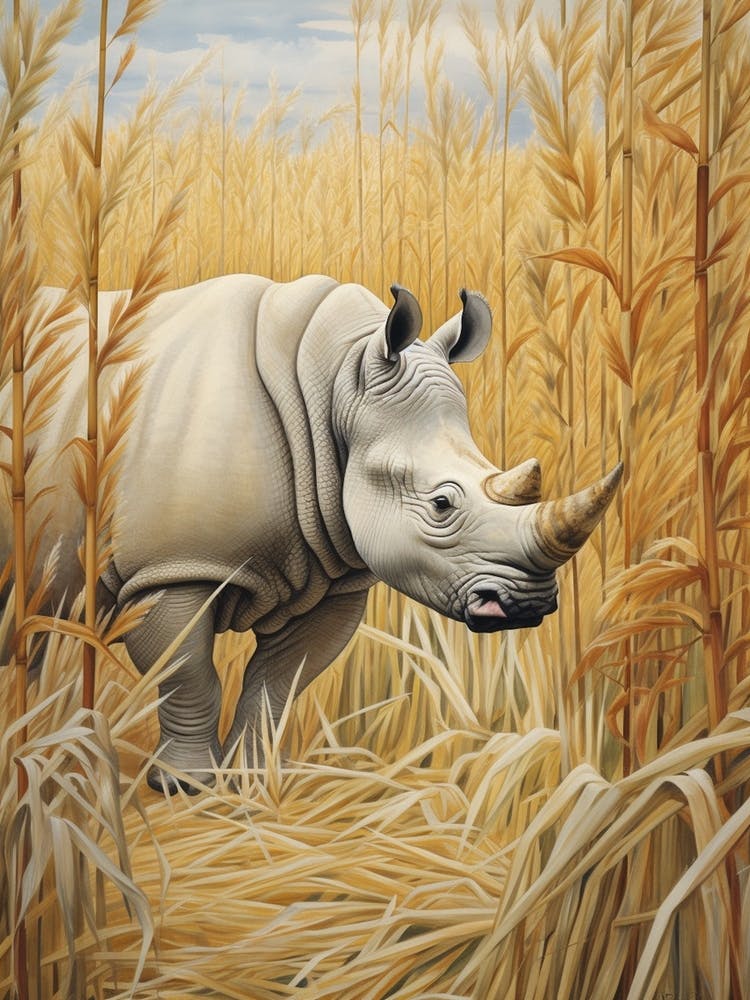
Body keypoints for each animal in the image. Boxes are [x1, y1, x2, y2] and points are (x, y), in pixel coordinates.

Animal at [0, 274, 621, 791]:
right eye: (442, 504)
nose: (531, 604)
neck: (338, 386)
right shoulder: (171, 568)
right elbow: (187, 673)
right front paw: (184, 786)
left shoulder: (332, 574)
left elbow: (277, 683)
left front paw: (252, 784)